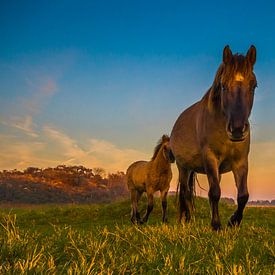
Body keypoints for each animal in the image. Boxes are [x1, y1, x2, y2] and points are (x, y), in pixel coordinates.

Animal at [171, 45, 258, 231]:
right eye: (223, 86)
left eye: (254, 85)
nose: (237, 129)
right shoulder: (210, 158)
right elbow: (215, 193)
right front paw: (216, 225)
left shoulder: (240, 162)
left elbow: (243, 195)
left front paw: (233, 222)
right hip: (183, 167)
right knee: (185, 193)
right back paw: (188, 220)